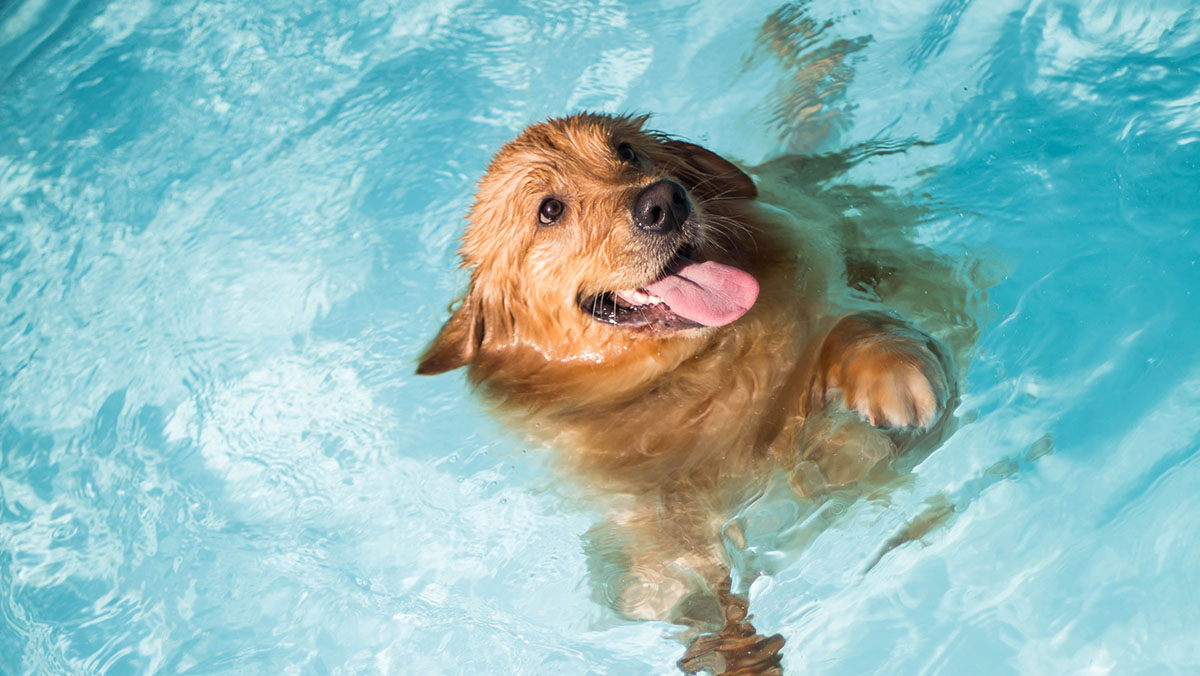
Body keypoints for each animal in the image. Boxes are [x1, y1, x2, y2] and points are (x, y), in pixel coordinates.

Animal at [417, 113, 960, 672]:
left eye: (627, 152)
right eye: (550, 210)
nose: (664, 200)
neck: (688, 369)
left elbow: (849, 328)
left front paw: (890, 371)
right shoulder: (647, 521)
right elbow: (680, 581)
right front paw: (731, 645)